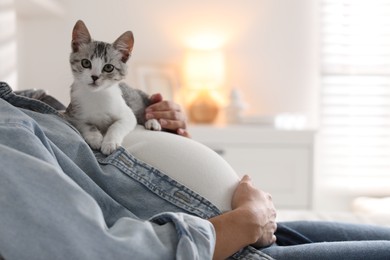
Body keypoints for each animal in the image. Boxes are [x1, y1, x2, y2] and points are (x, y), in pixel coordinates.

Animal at [64, 20, 161, 154]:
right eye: (86, 63)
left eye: (108, 67)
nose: (95, 77)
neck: (97, 95)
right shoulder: (71, 114)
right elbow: (85, 125)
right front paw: (95, 138)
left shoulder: (128, 115)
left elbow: (117, 125)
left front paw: (109, 143)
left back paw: (152, 122)